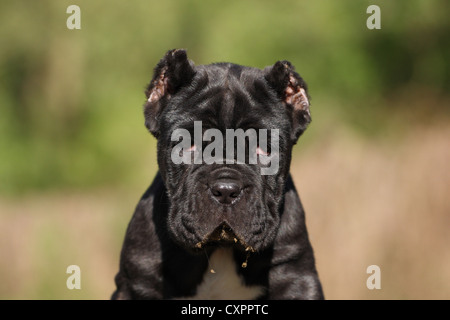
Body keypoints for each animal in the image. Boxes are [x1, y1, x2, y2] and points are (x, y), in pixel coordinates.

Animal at [112, 48, 324, 298]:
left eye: (263, 148)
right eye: (187, 145)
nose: (225, 190)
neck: (221, 249)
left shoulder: (296, 278)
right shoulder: (139, 281)